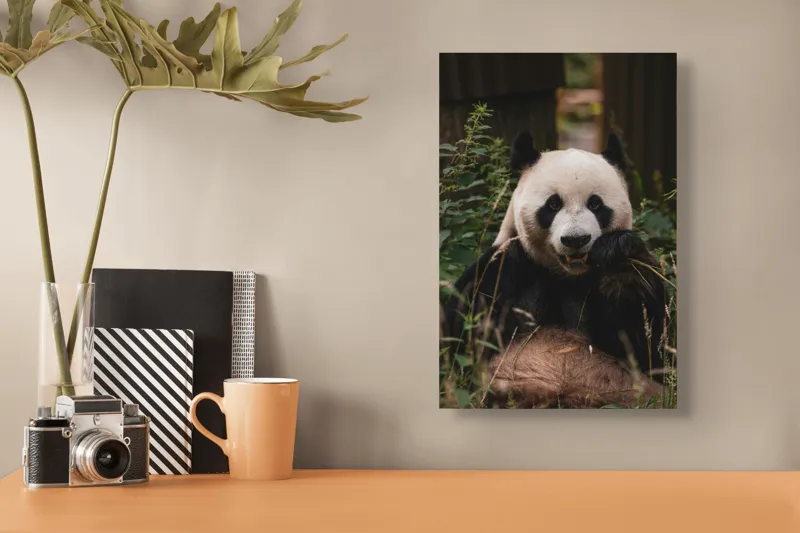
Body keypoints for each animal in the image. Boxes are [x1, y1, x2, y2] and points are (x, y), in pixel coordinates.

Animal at [442, 132, 668, 408]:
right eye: (553, 205)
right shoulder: (506, 270)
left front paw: (617, 253)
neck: (567, 276)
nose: (576, 239)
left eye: (595, 204)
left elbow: (648, 347)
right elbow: (459, 337)